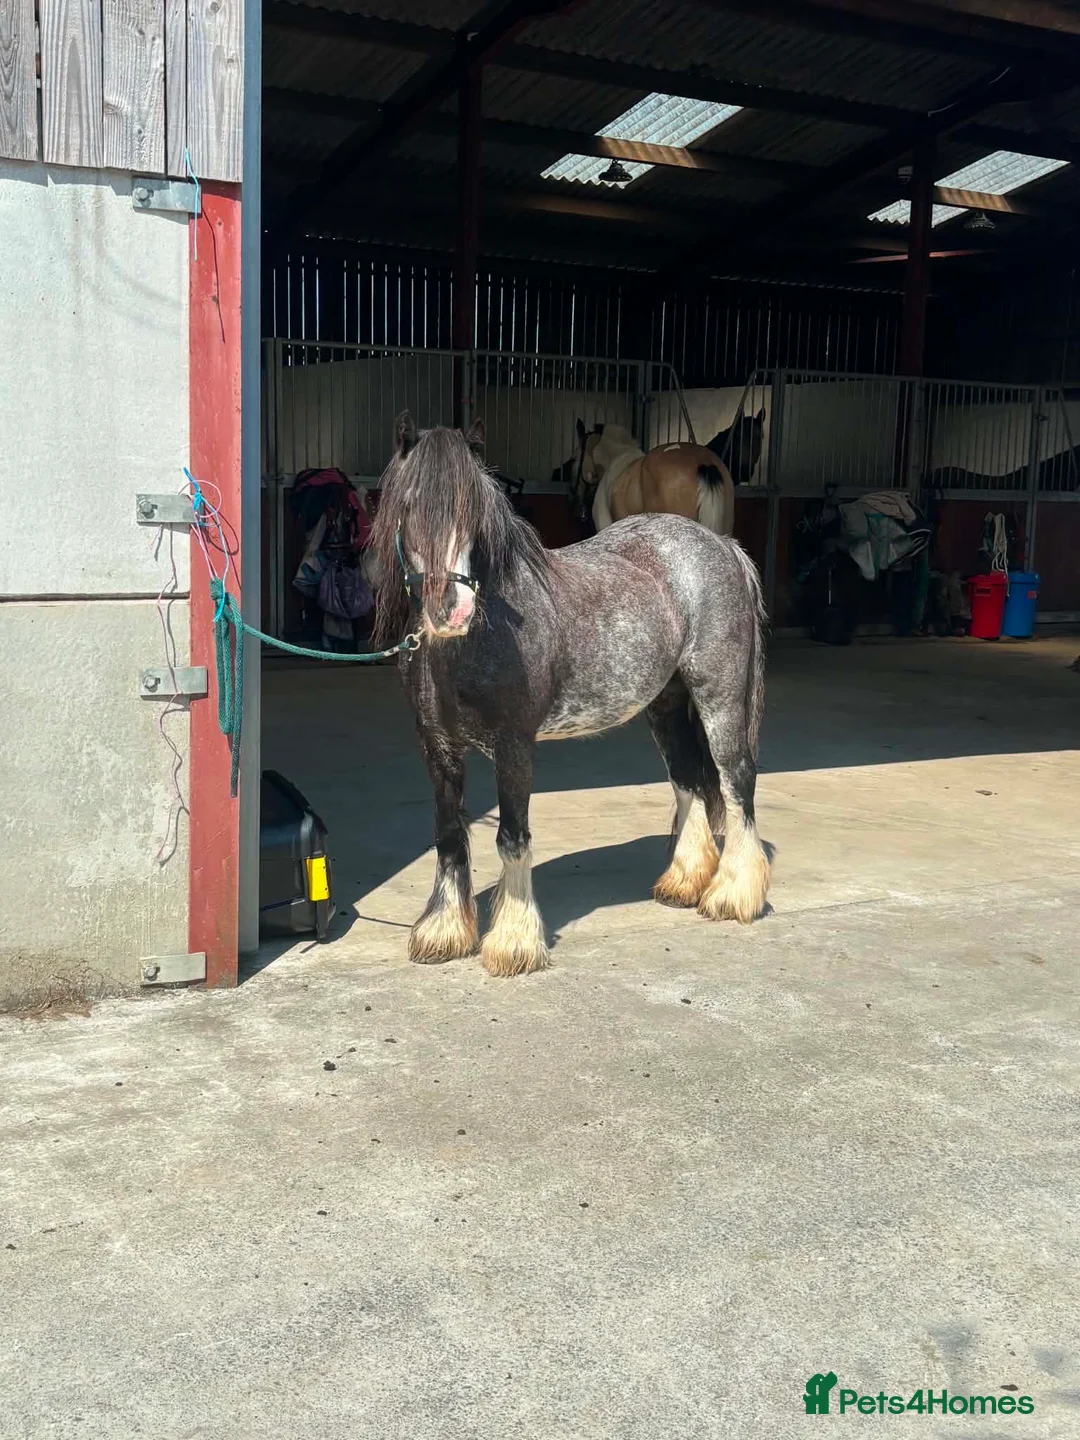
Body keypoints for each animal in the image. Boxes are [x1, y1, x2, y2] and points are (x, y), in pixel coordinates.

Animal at [369, 412, 770, 978]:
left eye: (476, 511)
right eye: (407, 505)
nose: (451, 609)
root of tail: (721, 545)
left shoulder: (514, 747)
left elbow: (511, 839)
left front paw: (513, 944)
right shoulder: (437, 747)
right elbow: (448, 836)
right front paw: (444, 934)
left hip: (720, 697)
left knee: (736, 784)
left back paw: (732, 896)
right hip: (666, 705)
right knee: (690, 780)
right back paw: (683, 883)